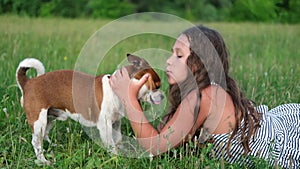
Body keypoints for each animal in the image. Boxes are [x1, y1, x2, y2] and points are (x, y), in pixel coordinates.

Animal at [15, 53, 164, 164]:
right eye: (156, 85)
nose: (163, 96)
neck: (117, 90)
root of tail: (28, 83)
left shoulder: (116, 123)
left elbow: (118, 139)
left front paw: (122, 151)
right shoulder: (105, 126)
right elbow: (111, 144)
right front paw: (116, 158)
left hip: (49, 118)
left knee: (45, 135)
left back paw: (53, 147)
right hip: (38, 120)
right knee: (36, 141)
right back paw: (43, 161)